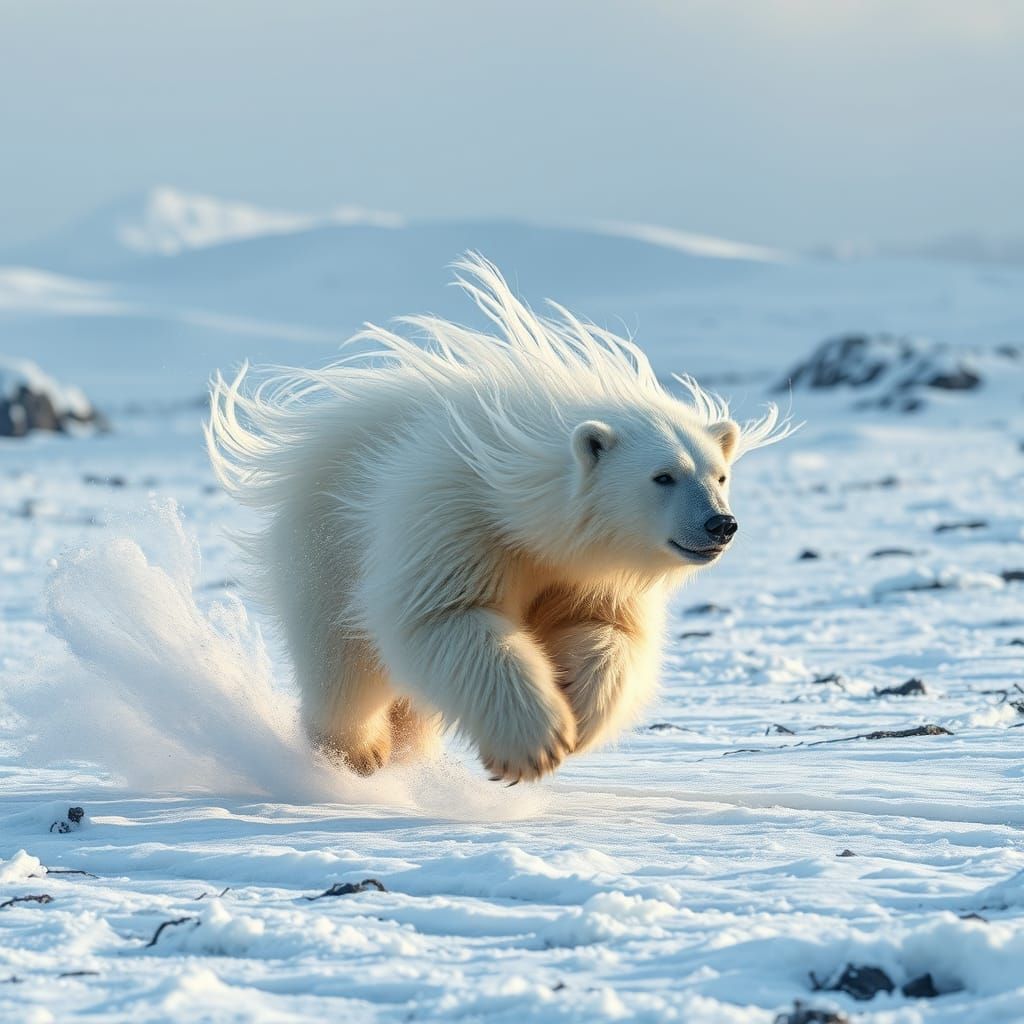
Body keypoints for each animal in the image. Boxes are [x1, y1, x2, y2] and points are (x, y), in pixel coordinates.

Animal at [206, 254, 791, 782]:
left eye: (719, 474)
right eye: (663, 476)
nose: (720, 525)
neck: (524, 506)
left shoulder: (591, 570)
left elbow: (608, 629)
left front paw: (575, 703)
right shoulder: (454, 520)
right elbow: (449, 618)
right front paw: (535, 744)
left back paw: (407, 750)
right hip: (328, 548)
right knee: (344, 664)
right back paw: (355, 751)